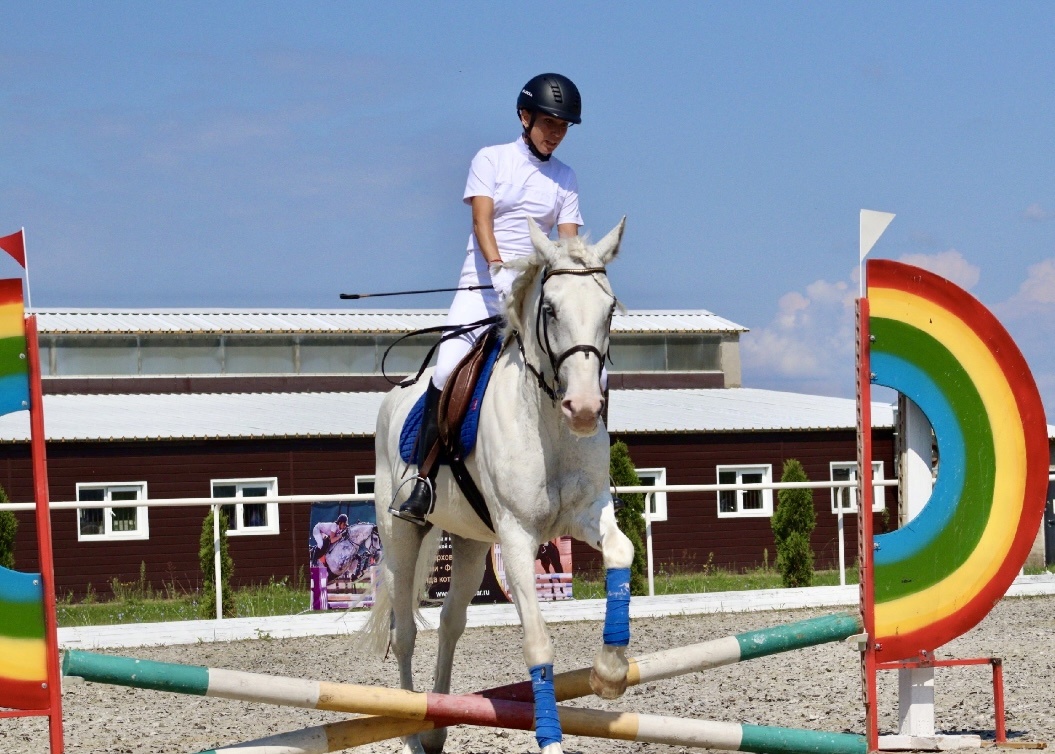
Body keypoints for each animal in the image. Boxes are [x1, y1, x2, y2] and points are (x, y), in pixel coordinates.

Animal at [369, 218, 632, 754]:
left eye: (610, 309)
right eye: (550, 310)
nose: (584, 409)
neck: (548, 422)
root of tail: (397, 396)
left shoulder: (588, 512)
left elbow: (622, 551)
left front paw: (611, 670)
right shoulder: (515, 536)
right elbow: (537, 641)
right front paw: (552, 740)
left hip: (470, 541)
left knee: (450, 621)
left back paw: (437, 723)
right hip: (401, 531)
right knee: (404, 631)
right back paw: (411, 732)